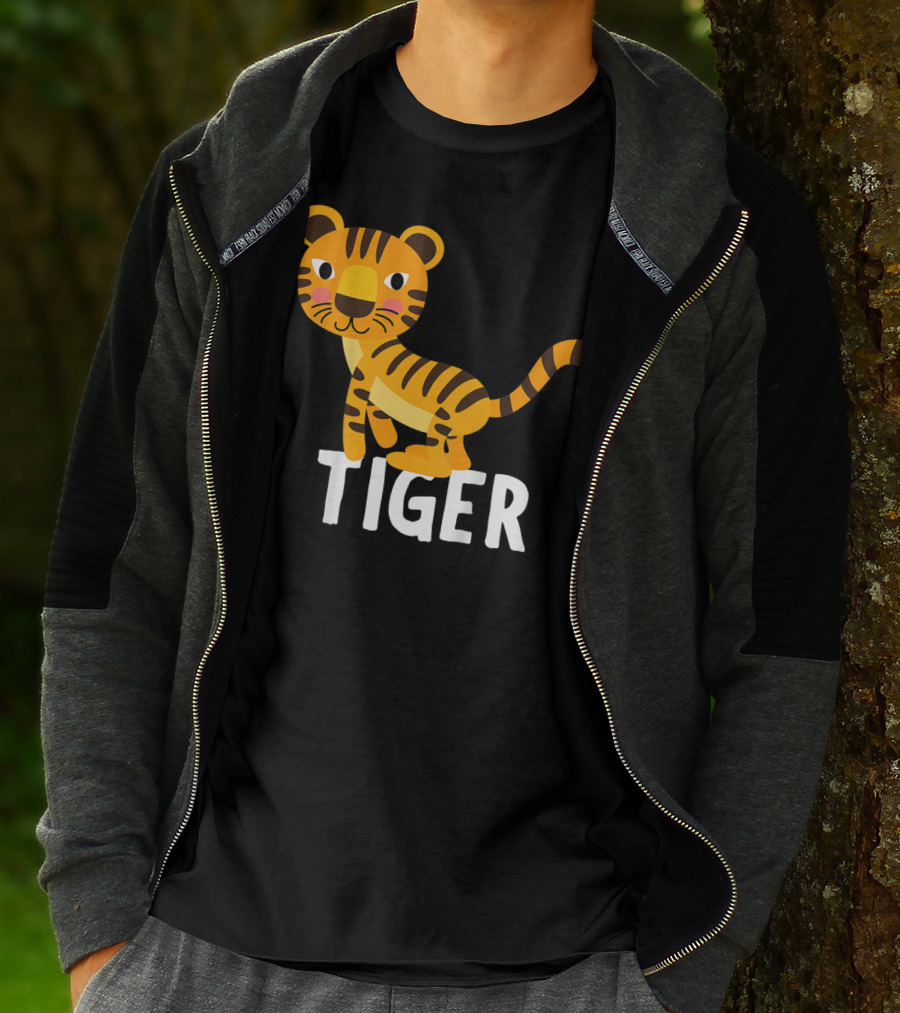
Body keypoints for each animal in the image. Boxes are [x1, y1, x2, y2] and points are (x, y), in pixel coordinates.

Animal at [298, 204, 582, 479]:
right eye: (324, 269)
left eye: (397, 280)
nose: (353, 304)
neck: (364, 343)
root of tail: (486, 399)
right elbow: (374, 410)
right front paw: (387, 436)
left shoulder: (363, 378)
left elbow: (353, 417)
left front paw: (356, 452)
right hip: (455, 431)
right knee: (460, 461)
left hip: (442, 419)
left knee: (443, 466)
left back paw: (408, 460)